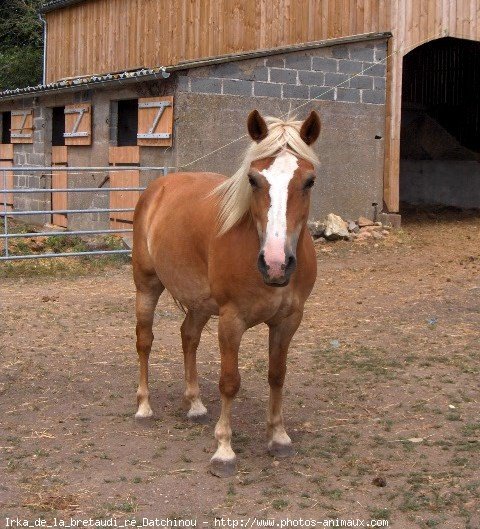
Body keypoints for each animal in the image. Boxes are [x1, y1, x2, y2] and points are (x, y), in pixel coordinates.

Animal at [133, 109, 320, 476]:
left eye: (308, 181)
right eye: (253, 180)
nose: (276, 264)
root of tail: (158, 188)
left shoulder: (288, 320)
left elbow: (277, 375)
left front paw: (278, 437)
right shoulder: (232, 321)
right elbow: (229, 381)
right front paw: (224, 450)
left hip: (200, 302)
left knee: (188, 336)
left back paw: (194, 404)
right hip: (146, 285)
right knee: (144, 341)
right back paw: (144, 407)